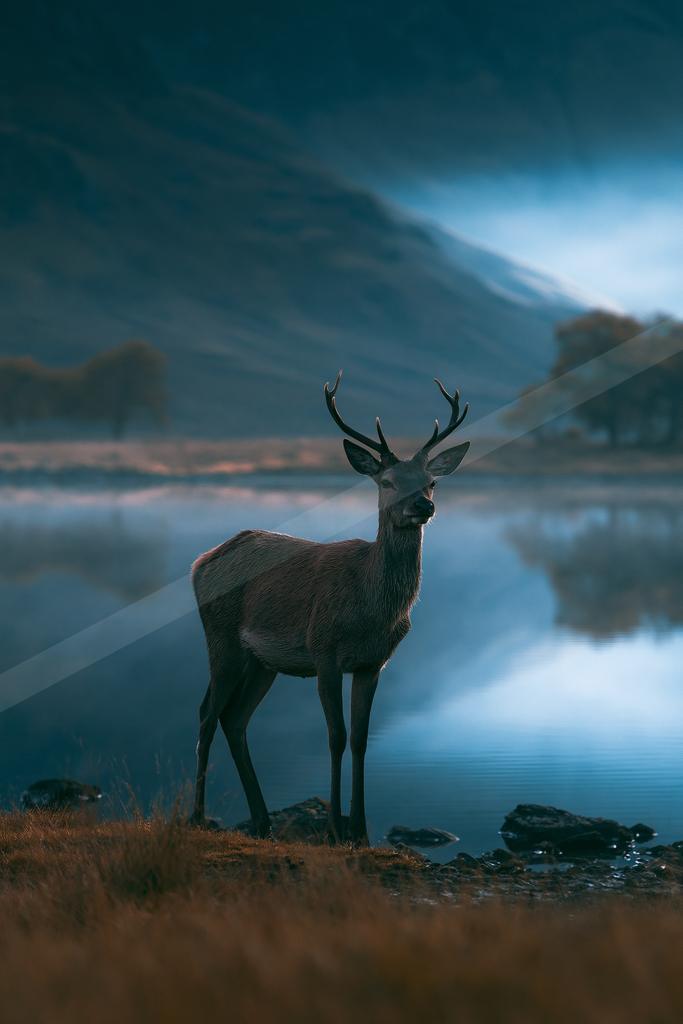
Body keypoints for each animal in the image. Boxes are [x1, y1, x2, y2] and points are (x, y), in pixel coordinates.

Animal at [190, 373, 470, 843]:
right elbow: (336, 735)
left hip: (261, 661)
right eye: (387, 481)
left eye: (431, 481)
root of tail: (199, 562)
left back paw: (262, 821)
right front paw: (336, 829)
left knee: (235, 719)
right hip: (221, 638)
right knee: (207, 714)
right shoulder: (323, 650)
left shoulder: (373, 663)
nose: (423, 506)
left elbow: (360, 738)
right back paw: (194, 817)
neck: (372, 611)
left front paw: (360, 831)